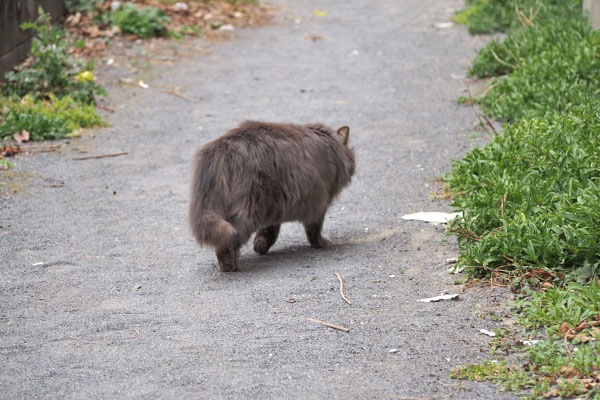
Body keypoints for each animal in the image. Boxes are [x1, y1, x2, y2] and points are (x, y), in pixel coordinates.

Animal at [190, 121, 354, 272]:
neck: (331, 146)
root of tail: (222, 147)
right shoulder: (318, 203)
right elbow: (313, 230)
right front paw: (322, 243)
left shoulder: (276, 206)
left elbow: (268, 231)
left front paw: (260, 246)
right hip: (248, 208)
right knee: (229, 239)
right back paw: (229, 266)